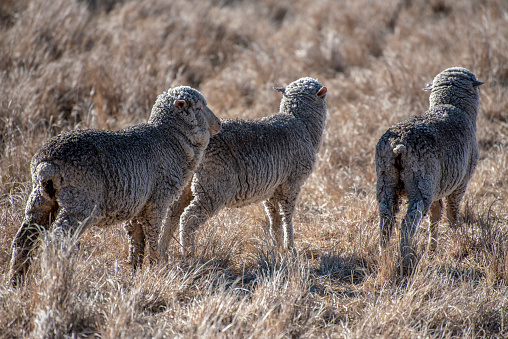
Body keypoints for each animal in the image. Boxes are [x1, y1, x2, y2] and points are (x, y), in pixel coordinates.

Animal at [8, 85, 221, 284]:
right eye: (199, 107)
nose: (219, 123)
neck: (170, 140)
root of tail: (47, 162)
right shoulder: (157, 200)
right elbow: (153, 235)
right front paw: (156, 266)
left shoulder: (138, 205)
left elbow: (136, 240)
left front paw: (136, 270)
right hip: (79, 203)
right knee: (57, 241)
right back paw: (57, 276)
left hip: (40, 199)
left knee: (24, 239)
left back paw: (16, 281)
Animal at [160, 76, 330, 258]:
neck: (302, 124)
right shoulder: (292, 183)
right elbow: (287, 216)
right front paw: (290, 248)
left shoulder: (272, 188)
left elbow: (275, 219)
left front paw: (277, 248)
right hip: (214, 187)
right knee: (189, 218)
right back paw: (189, 254)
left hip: (187, 184)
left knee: (172, 213)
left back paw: (162, 251)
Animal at [378, 67, 484, 274]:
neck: (448, 105)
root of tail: (398, 145)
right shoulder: (460, 183)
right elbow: (452, 214)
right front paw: (457, 240)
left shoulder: (438, 186)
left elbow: (435, 215)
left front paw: (432, 248)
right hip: (421, 184)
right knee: (409, 222)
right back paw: (406, 257)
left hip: (386, 180)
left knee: (386, 218)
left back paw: (383, 254)